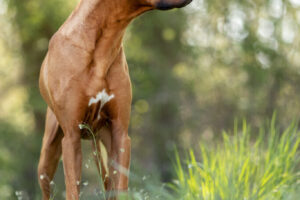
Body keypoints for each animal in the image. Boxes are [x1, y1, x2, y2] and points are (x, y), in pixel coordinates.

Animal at [37, 0, 192, 198]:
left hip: (104, 145)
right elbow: (73, 190)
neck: (103, 47)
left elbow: (121, 186)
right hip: (48, 157)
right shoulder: (71, 137)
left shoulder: (120, 134)